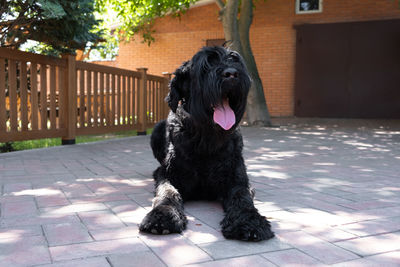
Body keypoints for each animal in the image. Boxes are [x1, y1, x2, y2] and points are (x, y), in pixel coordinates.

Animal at [139, 46, 274, 243]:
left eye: (235, 61)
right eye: (206, 65)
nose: (231, 74)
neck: (206, 139)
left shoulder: (237, 178)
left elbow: (242, 196)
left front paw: (249, 221)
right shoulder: (168, 174)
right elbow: (167, 192)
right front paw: (162, 215)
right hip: (156, 131)